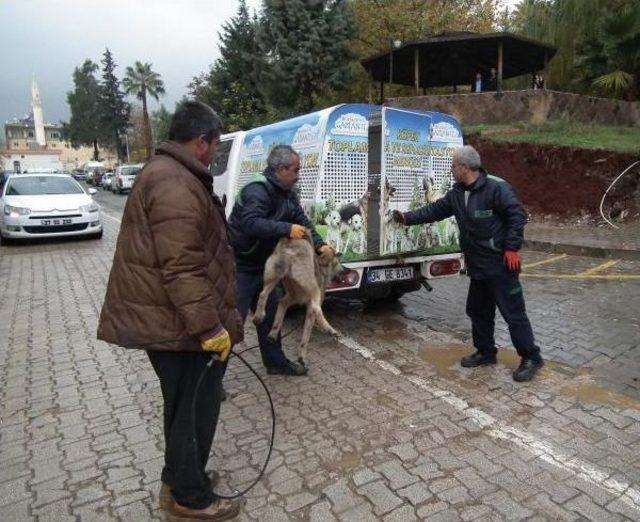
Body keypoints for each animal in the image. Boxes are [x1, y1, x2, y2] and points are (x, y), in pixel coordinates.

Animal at [254, 230, 344, 368]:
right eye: (339, 262)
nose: (344, 271)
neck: (322, 264)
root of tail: (291, 243)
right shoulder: (309, 308)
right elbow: (305, 337)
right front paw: (301, 357)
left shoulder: (287, 300)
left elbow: (279, 317)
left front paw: (273, 334)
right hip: (313, 288)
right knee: (317, 310)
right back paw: (330, 329)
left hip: (274, 276)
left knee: (263, 294)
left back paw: (258, 316)